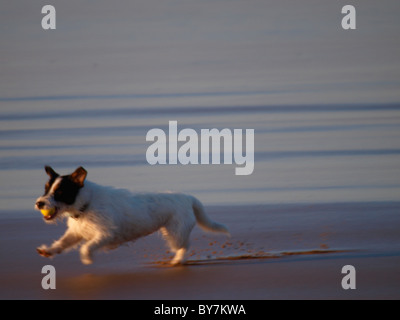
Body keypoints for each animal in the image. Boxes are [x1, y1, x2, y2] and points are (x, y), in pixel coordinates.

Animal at [36, 165, 230, 264]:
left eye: (60, 192)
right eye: (46, 189)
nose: (39, 203)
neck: (86, 204)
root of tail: (188, 197)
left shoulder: (106, 234)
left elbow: (86, 247)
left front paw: (87, 258)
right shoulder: (76, 232)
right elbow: (63, 242)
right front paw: (49, 250)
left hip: (176, 233)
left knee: (184, 246)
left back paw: (177, 261)